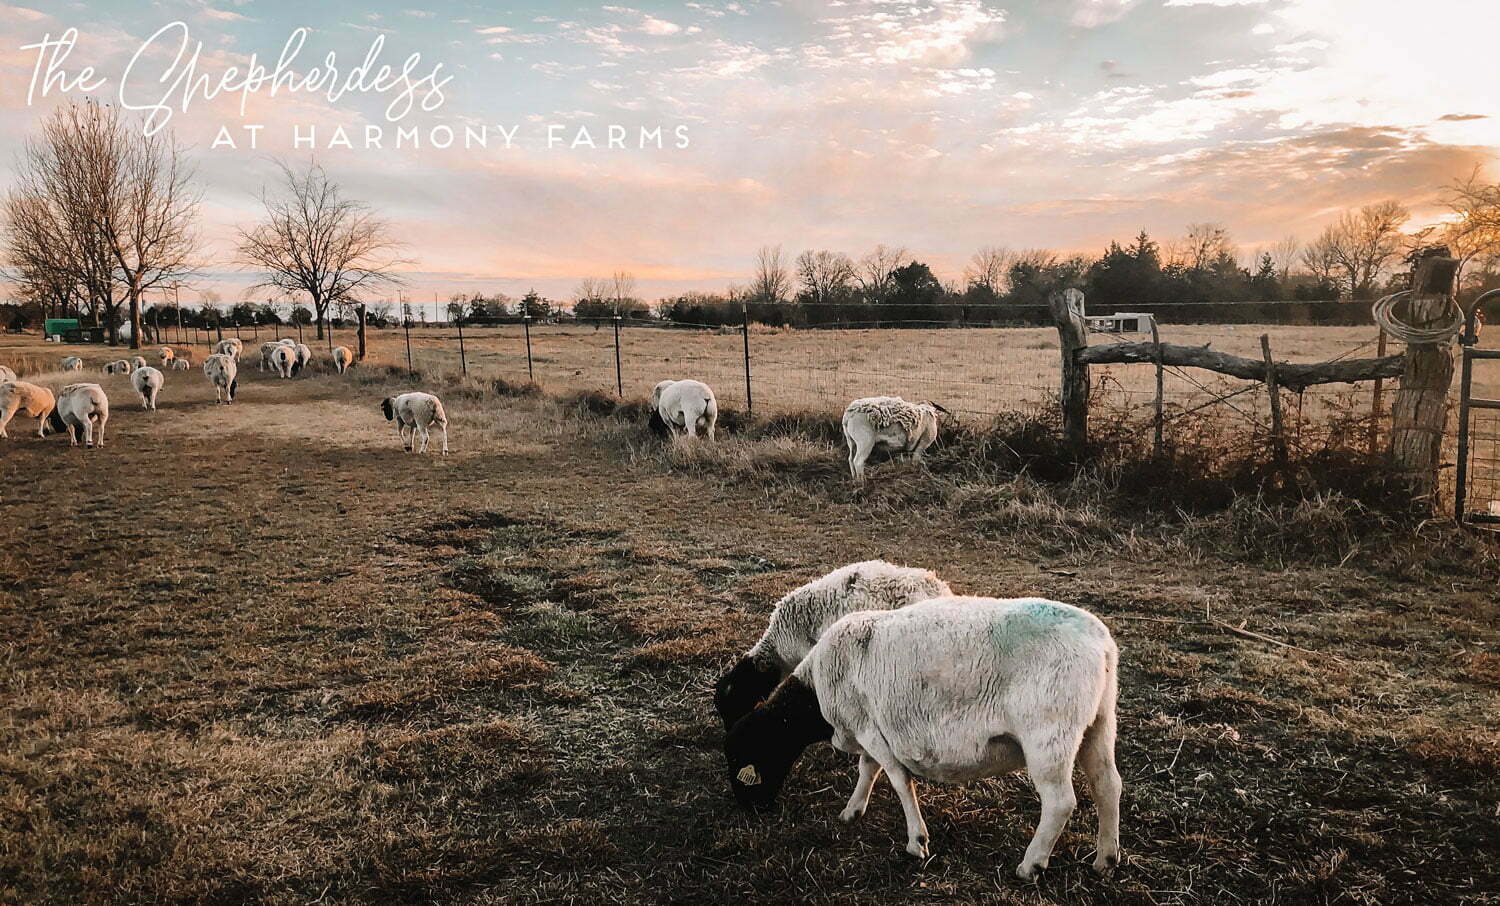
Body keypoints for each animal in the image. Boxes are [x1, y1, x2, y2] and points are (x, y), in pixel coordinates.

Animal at [720, 597, 1122, 882]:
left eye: (745, 760)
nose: (749, 809)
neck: (816, 692)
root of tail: (1102, 643)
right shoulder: (872, 726)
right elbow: (868, 769)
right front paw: (853, 810)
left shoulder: (871, 729)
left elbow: (898, 779)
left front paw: (917, 841)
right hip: (1099, 724)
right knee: (1107, 785)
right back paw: (1106, 858)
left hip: (1049, 734)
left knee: (1060, 802)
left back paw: (1031, 864)